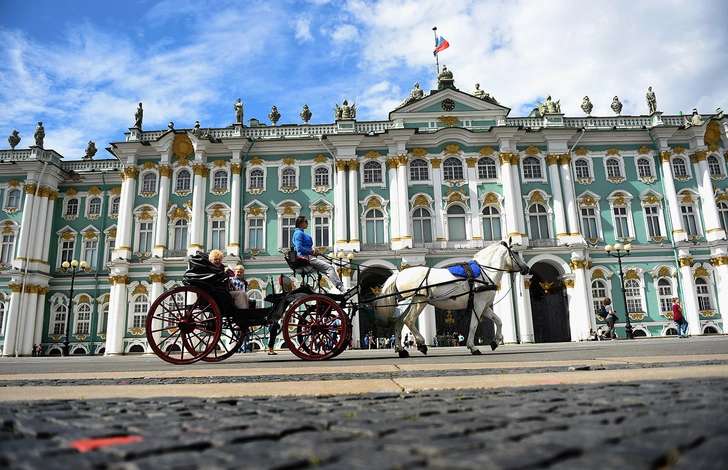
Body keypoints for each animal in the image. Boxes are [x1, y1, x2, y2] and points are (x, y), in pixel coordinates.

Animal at [376, 242, 528, 356]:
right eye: (515, 252)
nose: (526, 269)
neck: (484, 272)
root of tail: (399, 274)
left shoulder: (484, 306)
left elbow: (499, 321)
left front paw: (495, 342)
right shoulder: (478, 304)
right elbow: (473, 325)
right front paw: (473, 347)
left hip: (406, 302)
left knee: (399, 323)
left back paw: (401, 350)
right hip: (419, 301)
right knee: (409, 320)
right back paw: (422, 344)